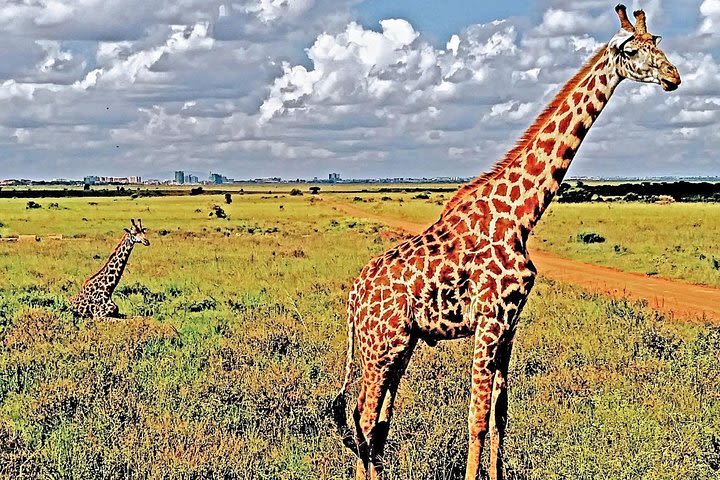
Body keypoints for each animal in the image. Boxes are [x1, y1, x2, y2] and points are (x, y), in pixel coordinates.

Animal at [332, 6, 680, 480]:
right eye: (632, 50)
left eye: (657, 43)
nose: (673, 76)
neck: (520, 216)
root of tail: (354, 295)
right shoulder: (489, 321)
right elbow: (477, 418)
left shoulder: (510, 326)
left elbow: (500, 416)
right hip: (381, 345)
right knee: (364, 420)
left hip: (399, 345)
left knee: (375, 424)